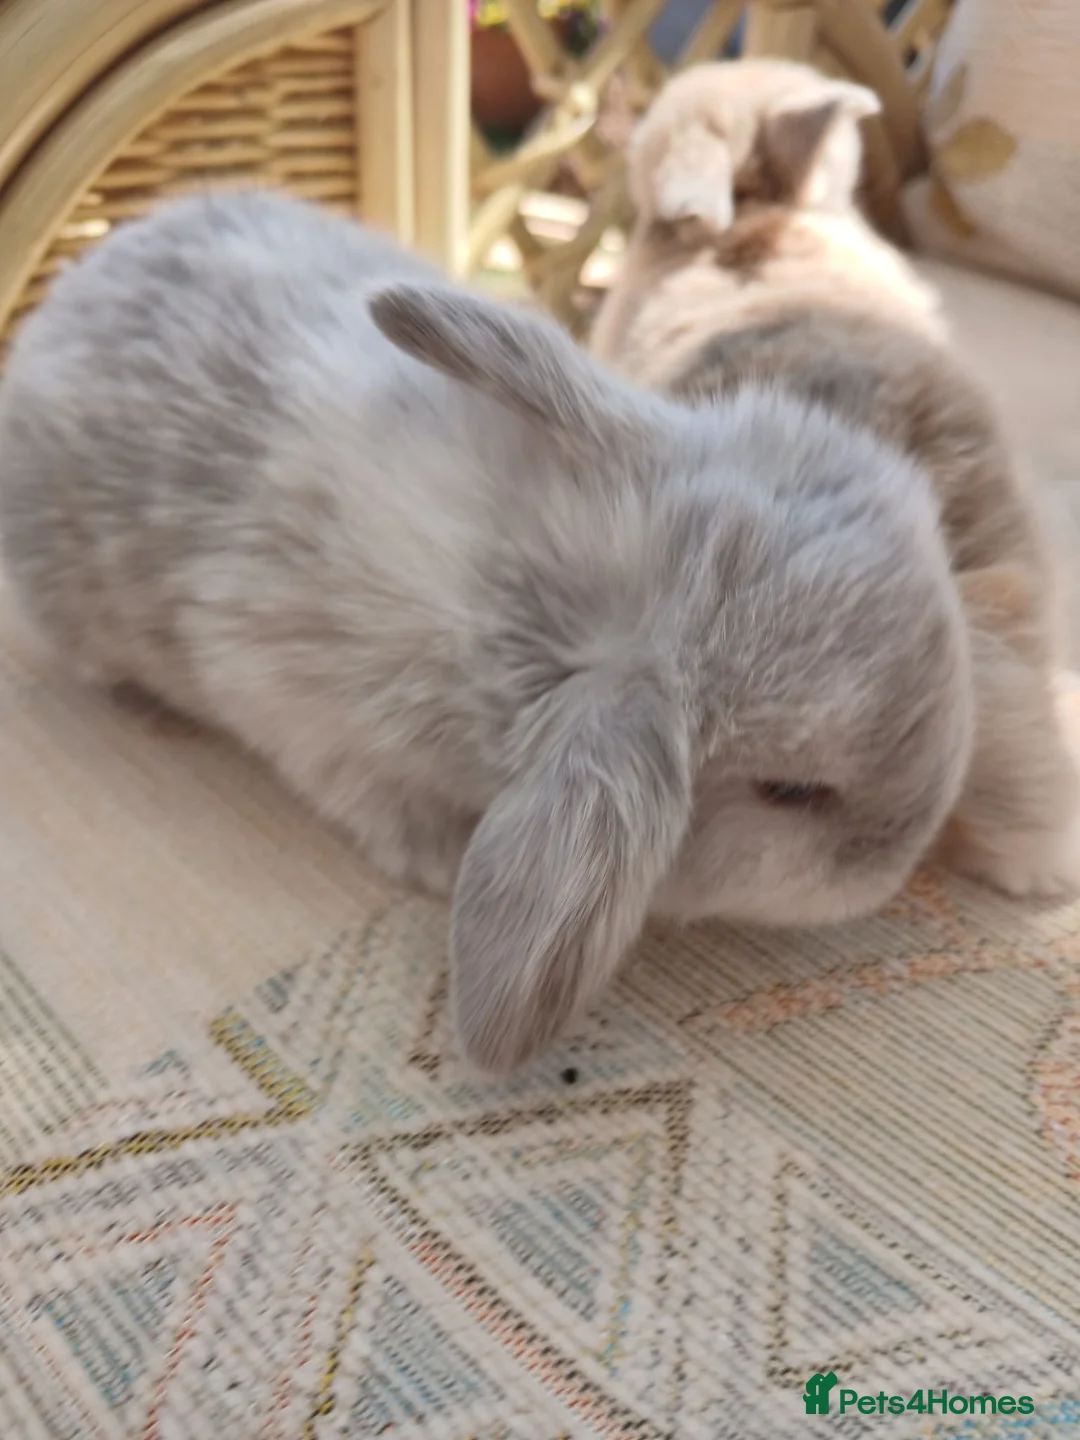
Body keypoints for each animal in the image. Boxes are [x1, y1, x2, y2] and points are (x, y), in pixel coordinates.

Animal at [0, 189, 973, 1073]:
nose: (910, 851)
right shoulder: (303, 716)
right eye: (791, 791)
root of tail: (62, 301)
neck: (543, 602)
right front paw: (438, 860)